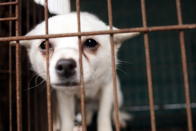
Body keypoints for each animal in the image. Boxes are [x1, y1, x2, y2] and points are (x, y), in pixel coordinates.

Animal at [17, 0, 139, 130]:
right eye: (44, 45)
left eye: (90, 42)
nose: (65, 66)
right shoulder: (64, 96)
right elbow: (67, 120)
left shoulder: (108, 87)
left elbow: (104, 114)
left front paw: (105, 127)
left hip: (118, 96)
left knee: (114, 110)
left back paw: (118, 119)